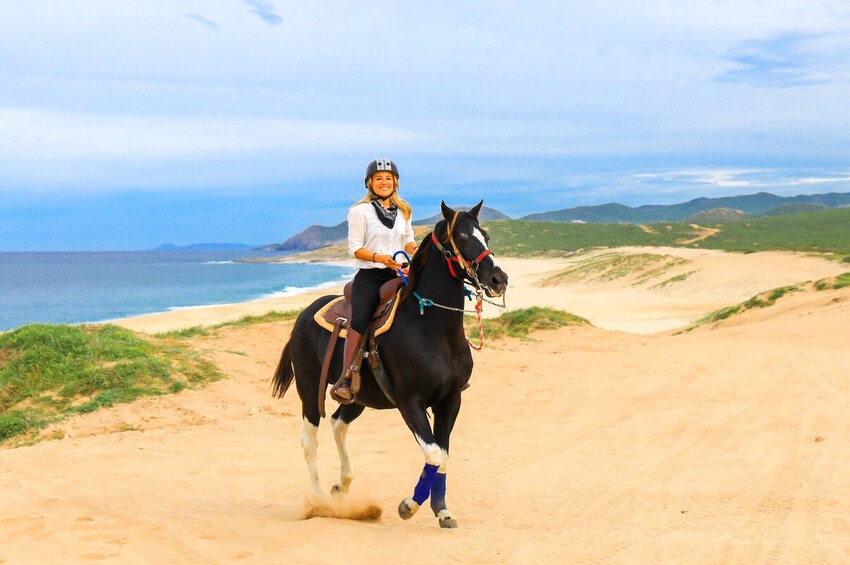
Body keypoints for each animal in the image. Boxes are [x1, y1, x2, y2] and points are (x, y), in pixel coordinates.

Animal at [272, 200, 506, 528]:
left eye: (485, 235)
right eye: (461, 237)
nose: (499, 279)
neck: (433, 330)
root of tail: (305, 314)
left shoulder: (451, 401)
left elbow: (444, 455)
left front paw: (442, 510)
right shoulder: (410, 402)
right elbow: (434, 454)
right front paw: (409, 505)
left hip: (357, 397)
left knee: (338, 424)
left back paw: (341, 485)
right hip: (308, 389)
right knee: (310, 440)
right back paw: (319, 502)